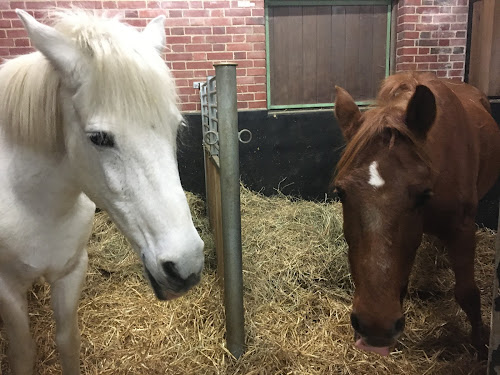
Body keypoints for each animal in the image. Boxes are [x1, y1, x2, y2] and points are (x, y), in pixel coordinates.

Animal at [0, 9, 205, 375]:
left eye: (177, 127)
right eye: (98, 138)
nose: (186, 266)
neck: (33, 203)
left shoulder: (71, 270)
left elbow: (68, 341)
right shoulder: (6, 288)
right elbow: (22, 353)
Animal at [332, 72, 500, 358]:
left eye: (422, 195)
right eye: (341, 192)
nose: (375, 328)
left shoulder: (463, 229)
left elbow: (468, 293)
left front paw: (481, 344)